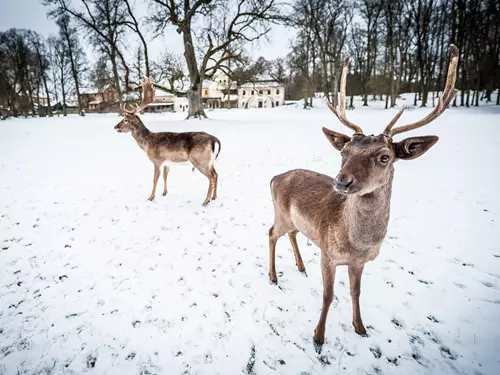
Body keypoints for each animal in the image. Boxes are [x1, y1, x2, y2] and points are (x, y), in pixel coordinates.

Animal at [116, 77, 222, 206]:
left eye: (125, 120)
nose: (115, 127)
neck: (147, 144)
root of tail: (214, 140)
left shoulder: (157, 160)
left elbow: (155, 179)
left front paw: (151, 197)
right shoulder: (167, 163)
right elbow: (165, 177)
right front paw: (164, 192)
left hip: (200, 160)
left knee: (211, 177)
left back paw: (206, 201)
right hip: (210, 161)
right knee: (216, 174)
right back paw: (214, 197)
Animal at [268, 44, 458, 352]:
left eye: (385, 157)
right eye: (344, 152)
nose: (341, 181)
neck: (357, 244)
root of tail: (274, 177)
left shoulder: (360, 262)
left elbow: (356, 293)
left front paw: (360, 328)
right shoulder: (328, 254)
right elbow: (328, 295)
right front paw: (318, 337)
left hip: (294, 220)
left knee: (293, 234)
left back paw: (300, 266)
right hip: (280, 213)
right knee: (272, 232)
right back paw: (273, 276)